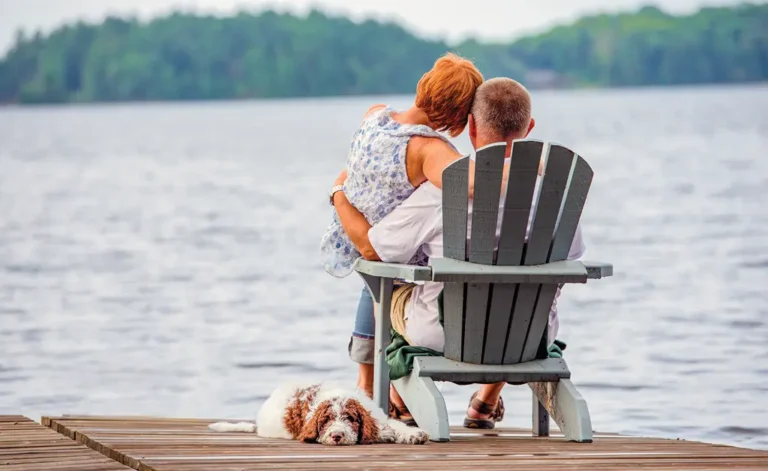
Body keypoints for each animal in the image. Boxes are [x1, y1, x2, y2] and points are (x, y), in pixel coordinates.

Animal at [207, 384, 428, 446]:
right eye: (326, 420)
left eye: (350, 419)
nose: (337, 436)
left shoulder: (377, 418)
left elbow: (392, 425)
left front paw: (414, 434)